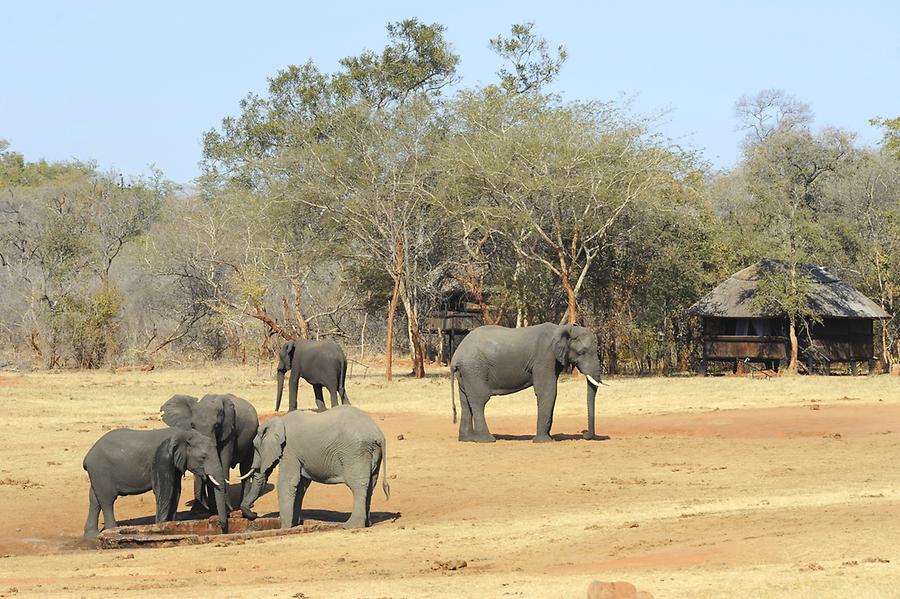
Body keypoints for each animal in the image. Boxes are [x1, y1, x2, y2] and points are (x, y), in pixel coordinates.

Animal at [82, 428, 227, 536]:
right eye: (203, 457)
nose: (221, 527)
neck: (183, 433)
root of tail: (87, 456)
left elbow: (176, 490)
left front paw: (170, 525)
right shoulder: (163, 457)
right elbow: (165, 490)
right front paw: (160, 527)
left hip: (97, 474)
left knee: (94, 499)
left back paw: (92, 537)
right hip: (101, 470)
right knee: (107, 500)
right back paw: (111, 530)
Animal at [239, 408, 390, 528]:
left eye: (255, 447)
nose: (254, 514)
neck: (279, 421)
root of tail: (378, 434)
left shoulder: (290, 450)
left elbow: (288, 482)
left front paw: (285, 527)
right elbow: (301, 485)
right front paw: (295, 524)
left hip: (355, 453)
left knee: (358, 485)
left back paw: (351, 526)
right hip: (371, 453)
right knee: (371, 484)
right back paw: (367, 524)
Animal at [450, 324, 604, 446]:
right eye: (581, 352)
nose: (585, 435)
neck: (563, 328)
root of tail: (456, 356)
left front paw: (549, 438)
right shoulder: (544, 358)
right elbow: (548, 391)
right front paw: (544, 442)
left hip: (466, 372)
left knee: (466, 401)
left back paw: (467, 439)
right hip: (474, 369)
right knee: (479, 400)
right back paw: (487, 440)